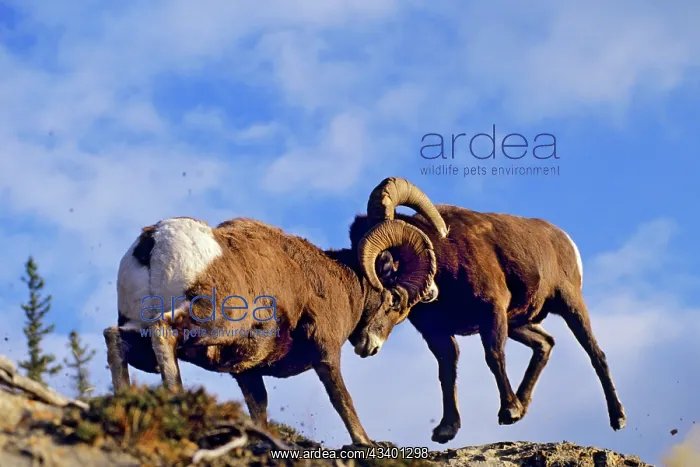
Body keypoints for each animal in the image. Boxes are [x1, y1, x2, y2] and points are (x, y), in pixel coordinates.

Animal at [103, 216, 438, 445]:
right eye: (395, 302)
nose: (371, 347)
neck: (341, 283)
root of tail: (154, 240)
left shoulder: (246, 370)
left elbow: (259, 407)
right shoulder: (326, 354)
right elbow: (342, 400)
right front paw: (364, 442)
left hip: (140, 336)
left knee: (114, 336)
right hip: (211, 323)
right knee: (164, 332)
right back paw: (176, 401)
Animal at [348, 177, 626, 444]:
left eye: (388, 264)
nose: (364, 344)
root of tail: (564, 239)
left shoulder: (492, 313)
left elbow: (493, 357)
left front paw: (509, 412)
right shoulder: (438, 333)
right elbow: (446, 372)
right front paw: (446, 429)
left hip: (570, 306)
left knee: (596, 354)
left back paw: (618, 418)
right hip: (519, 324)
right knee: (545, 344)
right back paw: (524, 403)